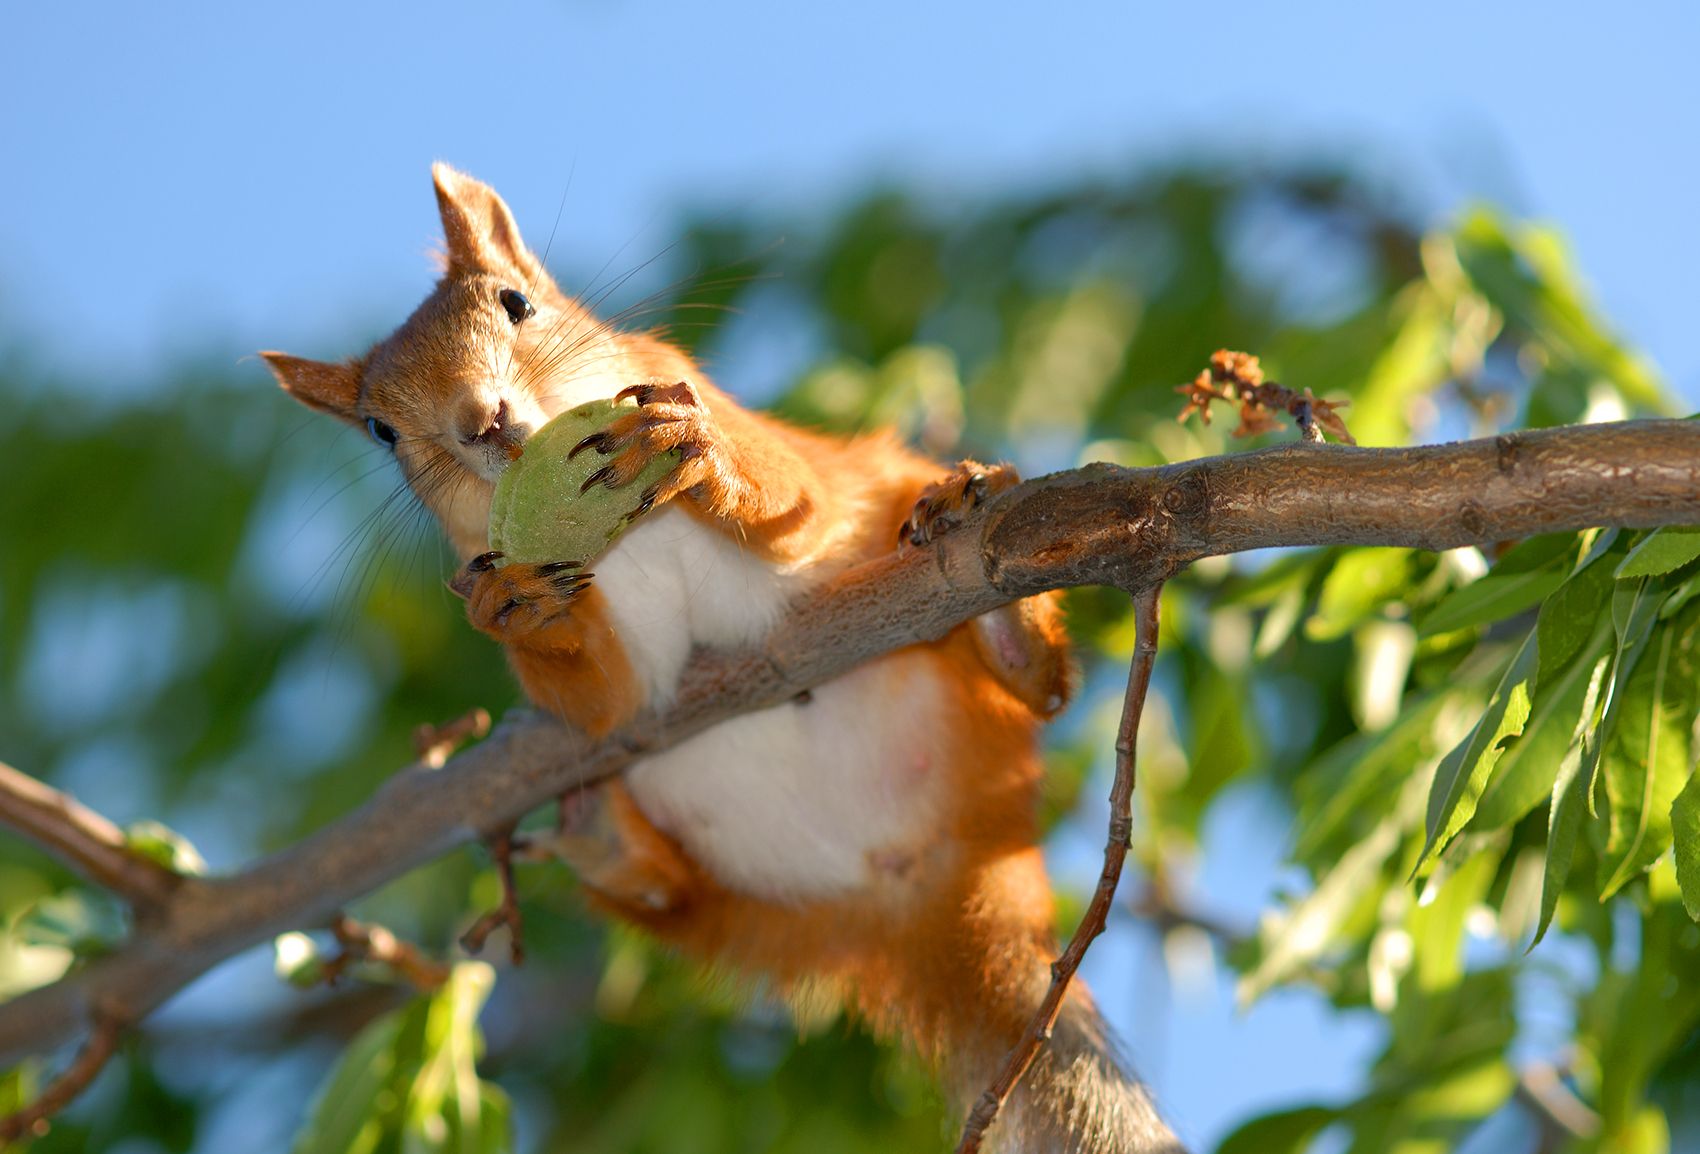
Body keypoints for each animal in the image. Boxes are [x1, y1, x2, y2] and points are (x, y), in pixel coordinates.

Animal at [261, 164, 1183, 1154]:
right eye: (379, 431)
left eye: (517, 303)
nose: (481, 420)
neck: (636, 537)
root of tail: (930, 875)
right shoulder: (613, 671)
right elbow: (602, 706)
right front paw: (514, 611)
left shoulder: (769, 458)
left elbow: (792, 499)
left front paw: (697, 454)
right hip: (733, 902)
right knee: (671, 896)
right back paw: (605, 838)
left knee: (1045, 692)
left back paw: (994, 591)